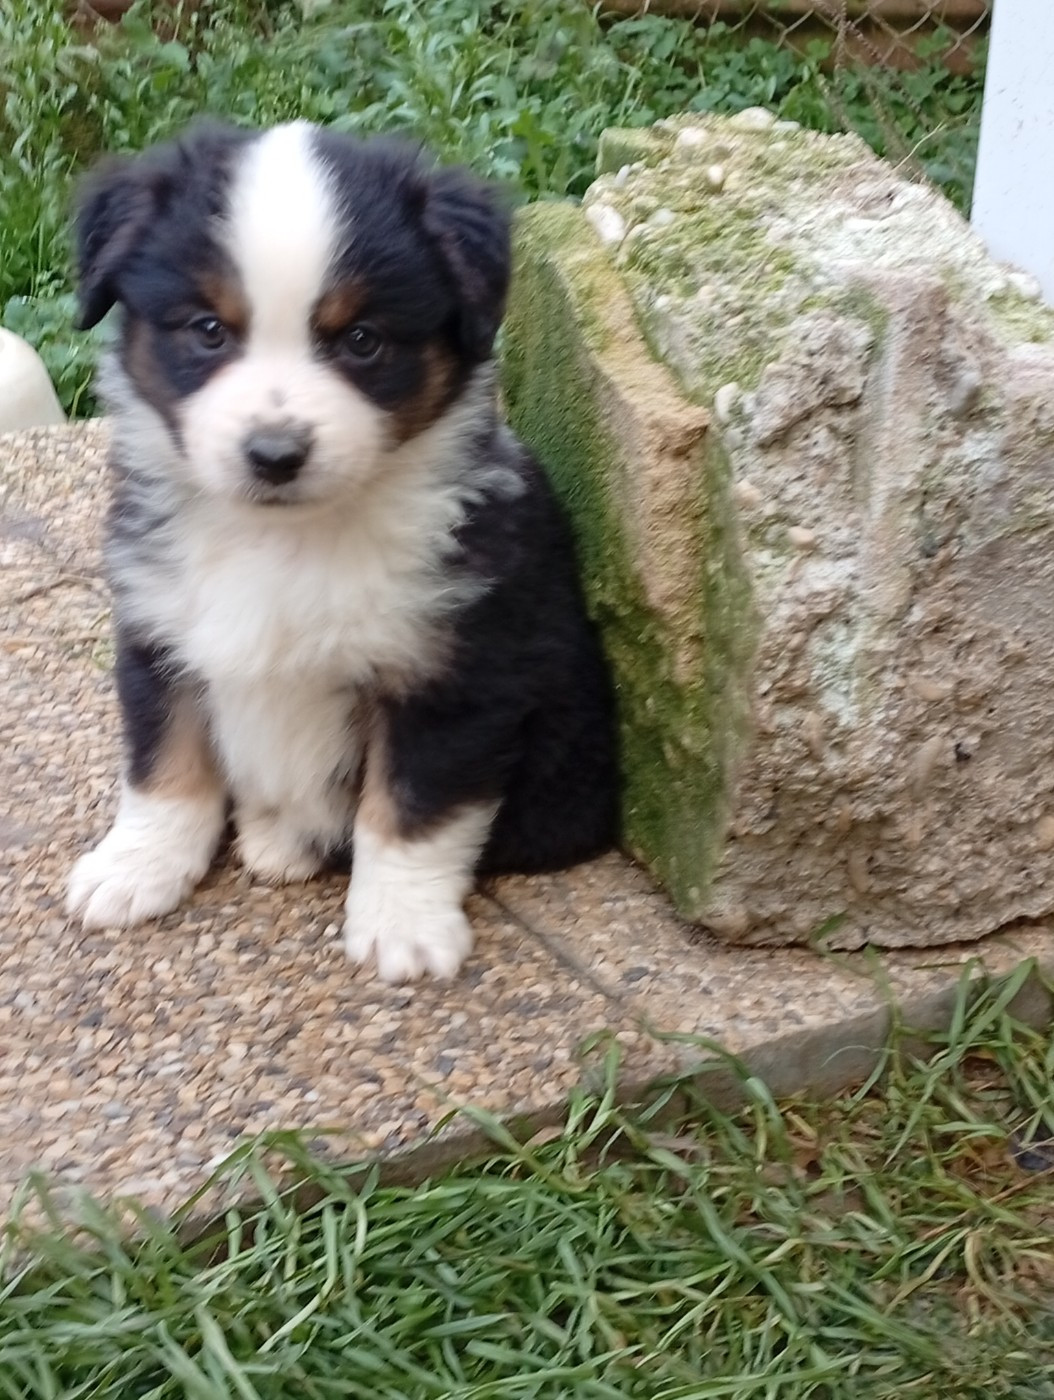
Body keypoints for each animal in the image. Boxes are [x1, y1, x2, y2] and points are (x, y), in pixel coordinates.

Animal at [65, 120, 619, 982]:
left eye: (362, 341)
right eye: (208, 330)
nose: (274, 454)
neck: (284, 537)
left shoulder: (454, 674)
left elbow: (412, 810)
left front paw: (403, 927)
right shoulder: (159, 630)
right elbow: (163, 767)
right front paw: (134, 868)